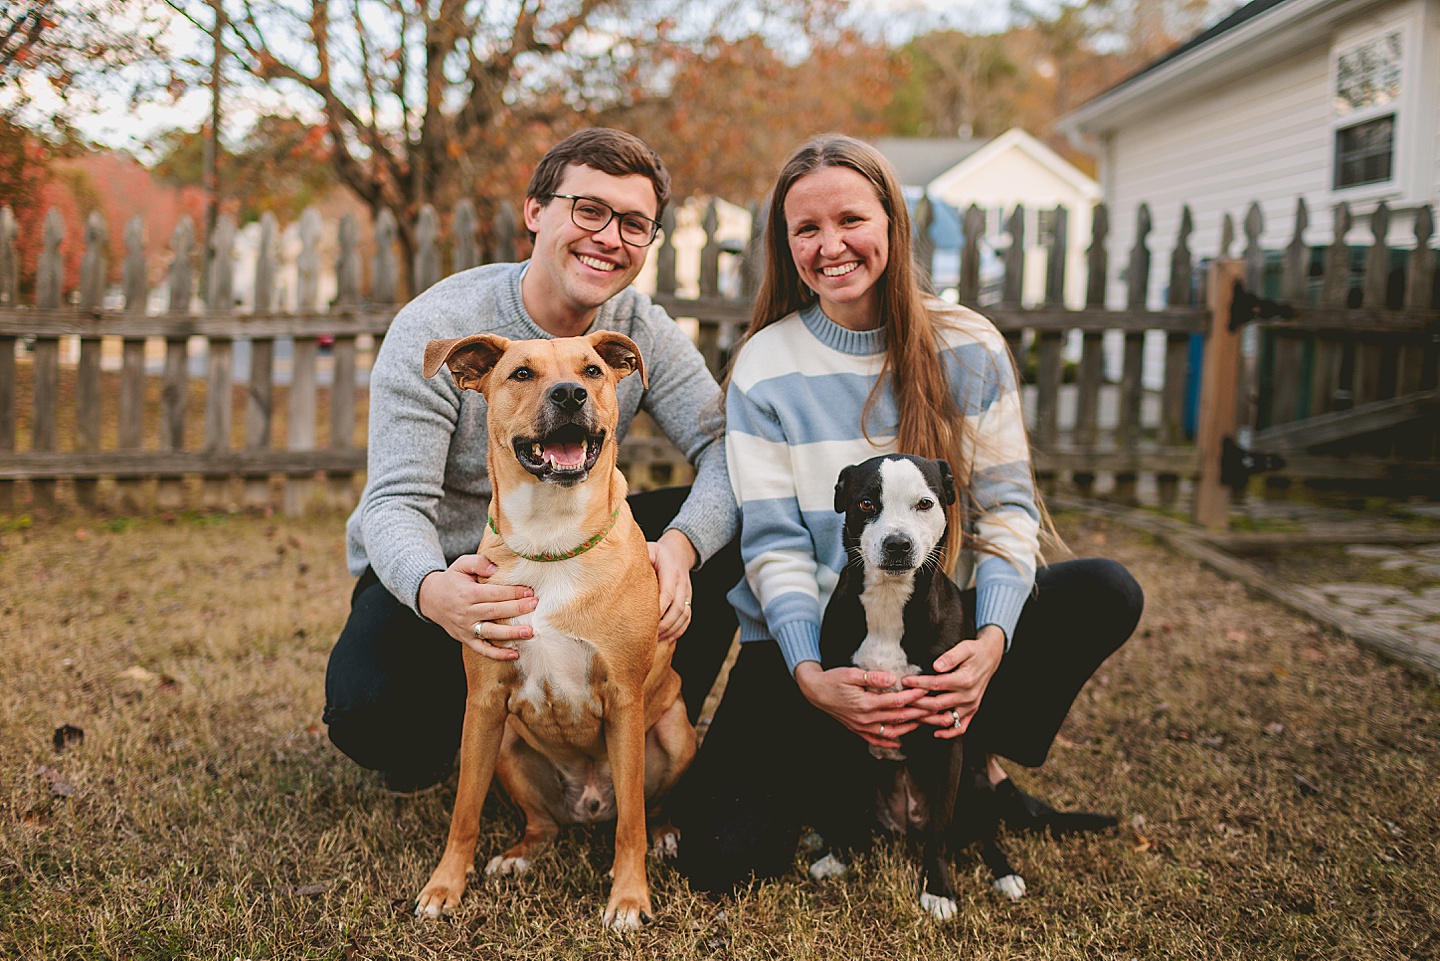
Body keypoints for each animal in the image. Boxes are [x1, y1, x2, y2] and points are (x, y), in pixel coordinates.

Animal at [411, 332, 696, 933]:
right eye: (522, 373)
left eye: (591, 371)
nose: (569, 394)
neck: (551, 539)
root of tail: (588, 806)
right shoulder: (485, 702)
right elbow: (464, 811)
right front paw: (444, 886)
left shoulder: (625, 699)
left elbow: (631, 823)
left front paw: (629, 897)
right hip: (507, 747)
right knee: (541, 824)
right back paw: (520, 854)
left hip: (676, 731)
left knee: (647, 808)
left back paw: (664, 835)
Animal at [823, 455, 1025, 922]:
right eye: (866, 502)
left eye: (925, 503)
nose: (898, 544)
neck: (889, 602)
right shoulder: (842, 720)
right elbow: (839, 798)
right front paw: (835, 854)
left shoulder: (947, 735)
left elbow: (940, 831)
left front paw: (939, 891)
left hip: (975, 780)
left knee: (980, 833)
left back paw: (1004, 873)